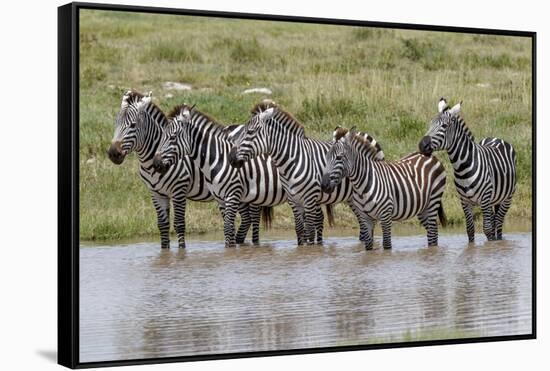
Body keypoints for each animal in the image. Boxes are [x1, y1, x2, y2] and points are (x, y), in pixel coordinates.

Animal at [108, 91, 268, 248]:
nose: (113, 154)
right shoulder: (156, 193)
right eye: (115, 123)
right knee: (247, 220)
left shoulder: (179, 190)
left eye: (133, 125)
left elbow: (179, 224)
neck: (151, 163)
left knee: (253, 220)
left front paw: (181, 251)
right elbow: (163, 225)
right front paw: (165, 251)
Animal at [152, 104, 288, 248]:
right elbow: (228, 230)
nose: (156, 164)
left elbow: (228, 227)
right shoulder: (220, 199)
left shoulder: (232, 195)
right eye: (162, 136)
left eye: (173, 137)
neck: (218, 159)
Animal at [229, 102, 370, 247]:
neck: (292, 162)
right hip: (352, 198)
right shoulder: (294, 200)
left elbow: (309, 230)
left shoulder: (310, 198)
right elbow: (299, 229)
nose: (230, 158)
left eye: (250, 132)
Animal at [420, 98, 520, 241]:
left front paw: (491, 246)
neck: (462, 168)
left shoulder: (485, 199)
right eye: (430, 124)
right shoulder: (464, 201)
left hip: (508, 197)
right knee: (495, 221)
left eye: (444, 126)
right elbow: (470, 229)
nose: (421, 145)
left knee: (499, 223)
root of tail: (496, 138)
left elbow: (487, 229)